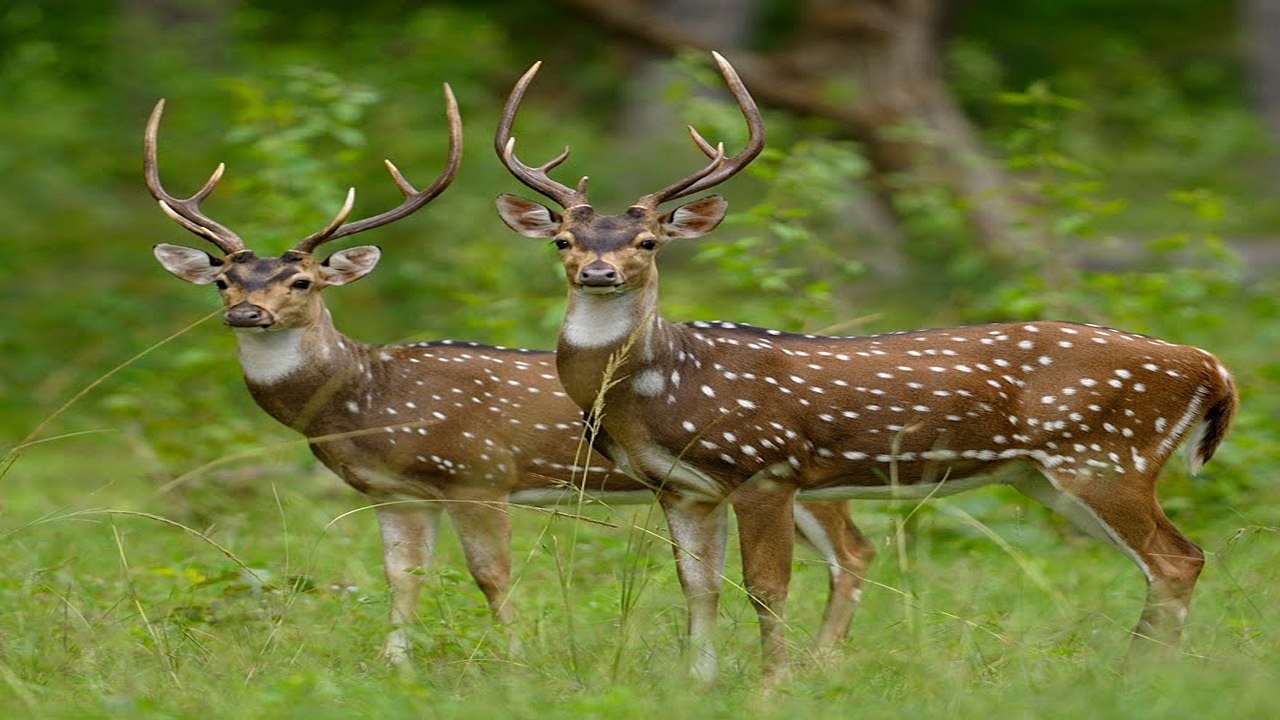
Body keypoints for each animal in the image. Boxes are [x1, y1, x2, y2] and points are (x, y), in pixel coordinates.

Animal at [142, 82, 880, 661]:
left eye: (301, 281)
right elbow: (401, 579)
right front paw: (395, 666)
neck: (368, 397)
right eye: (223, 281)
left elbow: (490, 576)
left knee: (851, 551)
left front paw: (515, 662)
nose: (247, 314)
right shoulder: (396, 492)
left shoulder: (477, 471)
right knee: (857, 550)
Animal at [494, 50, 1233, 676]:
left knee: (1176, 559)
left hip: (1108, 454)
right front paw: (696, 684)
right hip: (1049, 474)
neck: (659, 388)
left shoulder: (766, 466)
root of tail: (1212, 367)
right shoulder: (679, 487)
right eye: (563, 239)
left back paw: (1143, 676)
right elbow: (698, 588)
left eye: (648, 241)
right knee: (1170, 560)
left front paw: (771, 683)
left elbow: (765, 588)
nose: (598, 271)